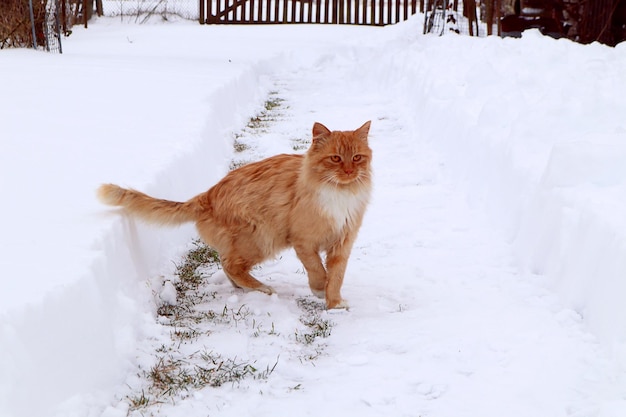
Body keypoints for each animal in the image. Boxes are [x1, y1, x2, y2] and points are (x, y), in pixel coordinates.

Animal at [98, 118, 370, 308]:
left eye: (357, 158)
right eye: (335, 158)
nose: (349, 171)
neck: (340, 193)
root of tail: (206, 195)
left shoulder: (343, 243)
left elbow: (336, 276)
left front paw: (334, 303)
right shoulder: (303, 241)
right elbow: (317, 270)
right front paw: (319, 289)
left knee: (228, 263)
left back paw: (246, 288)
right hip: (263, 237)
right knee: (230, 264)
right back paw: (262, 289)